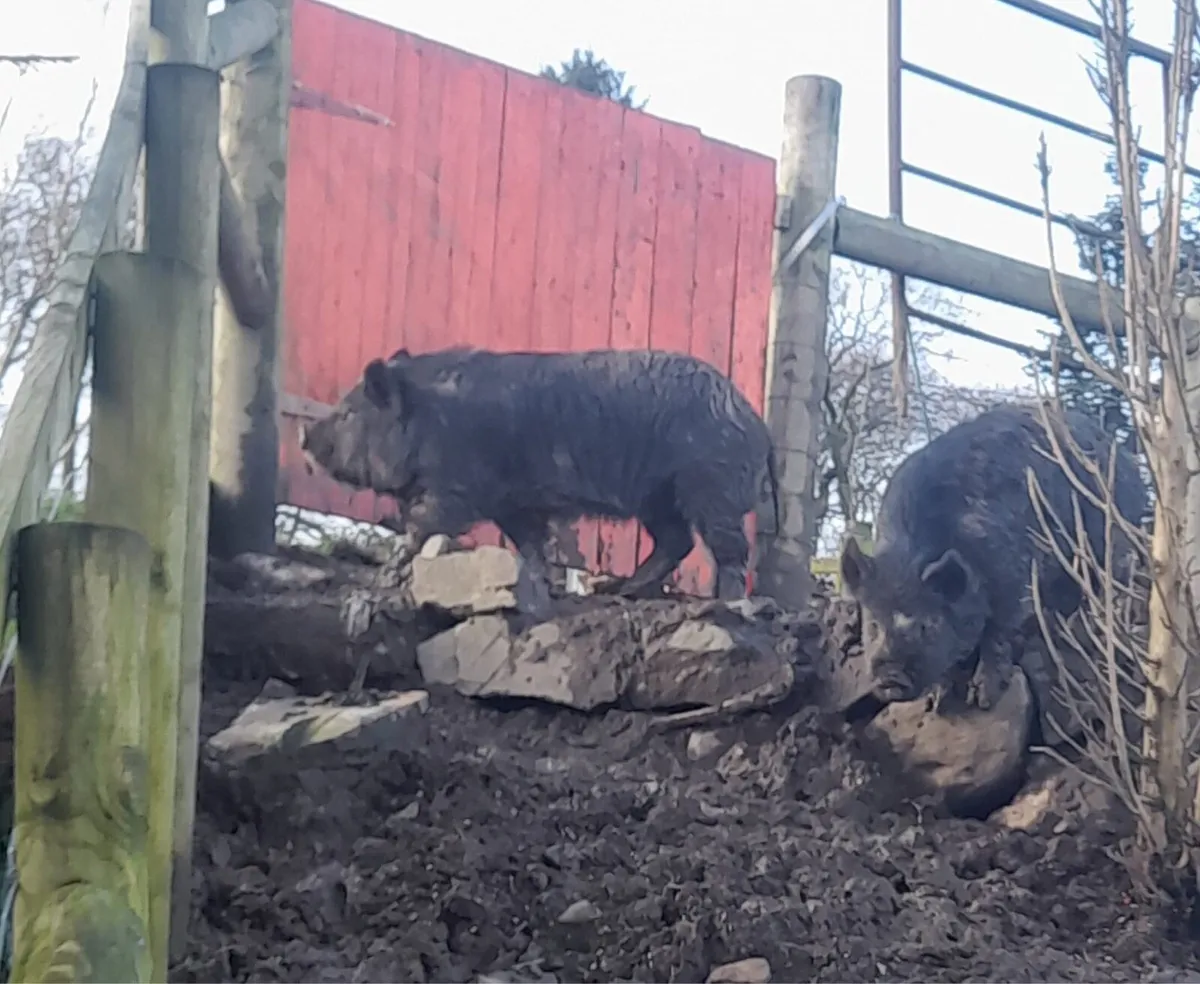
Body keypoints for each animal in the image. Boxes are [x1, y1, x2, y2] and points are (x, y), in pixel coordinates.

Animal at [299, 346, 780, 620]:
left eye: (348, 412)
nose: (305, 436)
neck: (430, 421)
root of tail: (756, 421)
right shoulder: (514, 503)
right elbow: (530, 545)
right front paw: (534, 594)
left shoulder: (456, 489)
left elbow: (420, 529)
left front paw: (380, 579)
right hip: (658, 498)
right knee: (676, 540)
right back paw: (622, 589)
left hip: (710, 487)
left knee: (728, 550)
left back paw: (728, 604)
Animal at [839, 402, 1148, 710]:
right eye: (874, 625)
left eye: (927, 625)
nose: (891, 676)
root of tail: (1125, 457)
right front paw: (936, 701)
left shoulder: (1012, 575)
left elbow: (998, 633)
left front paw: (983, 699)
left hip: (1115, 536)